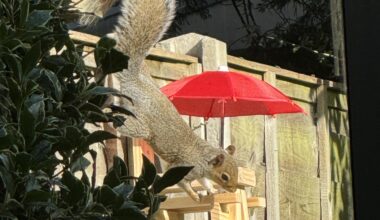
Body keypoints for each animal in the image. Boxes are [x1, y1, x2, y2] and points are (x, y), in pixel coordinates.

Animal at [75, 0, 239, 201]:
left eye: (237, 170)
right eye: (225, 176)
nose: (233, 189)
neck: (203, 157)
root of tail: (134, 80)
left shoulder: (201, 173)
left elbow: (205, 182)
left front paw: (211, 191)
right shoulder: (185, 168)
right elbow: (183, 183)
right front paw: (194, 196)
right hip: (140, 126)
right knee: (120, 122)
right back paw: (103, 112)